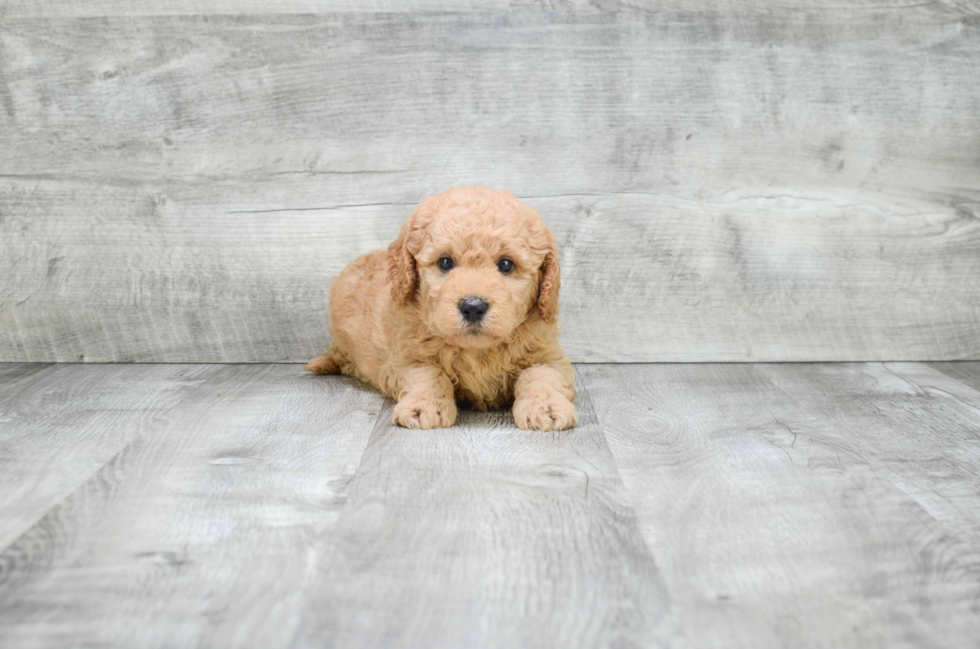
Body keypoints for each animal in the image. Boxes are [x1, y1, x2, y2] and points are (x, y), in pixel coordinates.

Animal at [306, 186, 580, 430]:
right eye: (445, 262)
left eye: (506, 264)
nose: (473, 307)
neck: (477, 351)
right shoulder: (403, 359)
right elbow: (429, 374)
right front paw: (424, 407)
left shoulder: (549, 356)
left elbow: (541, 376)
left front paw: (547, 408)